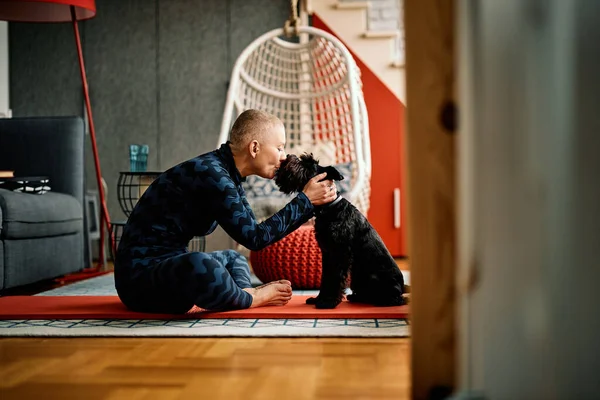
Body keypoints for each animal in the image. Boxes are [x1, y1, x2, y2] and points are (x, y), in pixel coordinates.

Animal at [274, 154, 406, 310]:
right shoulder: (327, 253)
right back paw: (356, 296)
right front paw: (318, 298)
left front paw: (328, 302)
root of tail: (402, 287)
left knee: (397, 299)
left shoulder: (339, 253)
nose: (289, 156)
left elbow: (335, 278)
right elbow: (326, 278)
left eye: (308, 164)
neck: (329, 208)